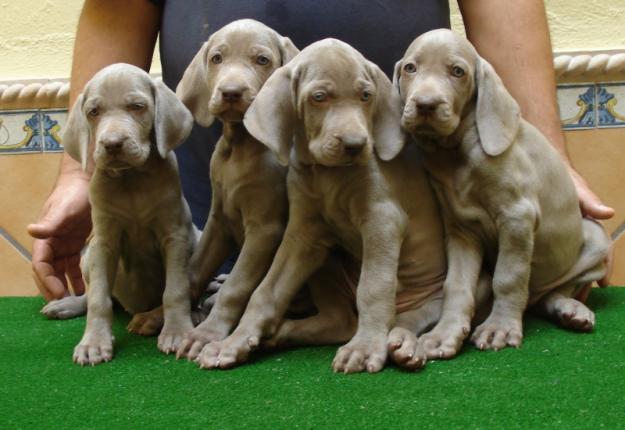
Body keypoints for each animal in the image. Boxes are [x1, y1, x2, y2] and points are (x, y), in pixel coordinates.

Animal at [46, 63, 195, 364]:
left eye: (137, 107)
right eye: (93, 112)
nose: (113, 144)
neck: (131, 181)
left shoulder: (175, 237)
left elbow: (175, 290)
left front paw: (176, 332)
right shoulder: (104, 243)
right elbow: (98, 298)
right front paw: (93, 342)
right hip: (87, 255)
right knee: (95, 294)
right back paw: (67, 304)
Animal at [171, 19, 298, 360]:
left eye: (262, 60)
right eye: (217, 58)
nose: (230, 92)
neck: (241, 148)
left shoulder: (265, 230)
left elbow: (237, 286)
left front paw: (207, 334)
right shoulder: (220, 222)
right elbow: (194, 272)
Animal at [194, 38, 454, 372]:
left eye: (366, 96)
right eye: (319, 97)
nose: (356, 145)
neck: (327, 175)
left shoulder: (382, 221)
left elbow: (373, 287)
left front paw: (366, 346)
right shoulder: (302, 235)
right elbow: (265, 292)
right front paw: (235, 341)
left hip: (428, 303)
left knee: (390, 318)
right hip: (325, 259)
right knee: (339, 320)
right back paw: (275, 334)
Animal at [394, 27, 608, 356]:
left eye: (458, 72)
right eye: (410, 68)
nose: (426, 105)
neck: (454, 154)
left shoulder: (517, 218)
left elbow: (508, 277)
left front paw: (500, 328)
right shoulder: (460, 232)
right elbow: (456, 285)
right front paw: (445, 334)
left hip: (596, 240)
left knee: (554, 290)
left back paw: (570, 308)